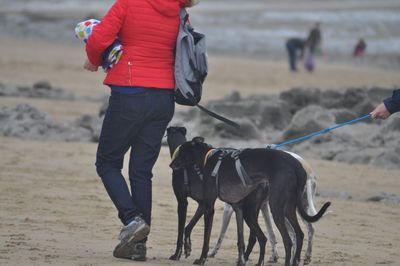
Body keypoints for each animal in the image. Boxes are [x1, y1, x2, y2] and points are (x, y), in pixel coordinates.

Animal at [170, 137, 330, 266]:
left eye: (181, 151)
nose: (171, 165)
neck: (207, 158)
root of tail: (298, 165)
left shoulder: (209, 206)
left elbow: (206, 237)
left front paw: (201, 259)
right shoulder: (237, 207)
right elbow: (241, 239)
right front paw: (241, 260)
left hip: (275, 209)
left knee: (287, 240)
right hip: (286, 209)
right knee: (298, 235)